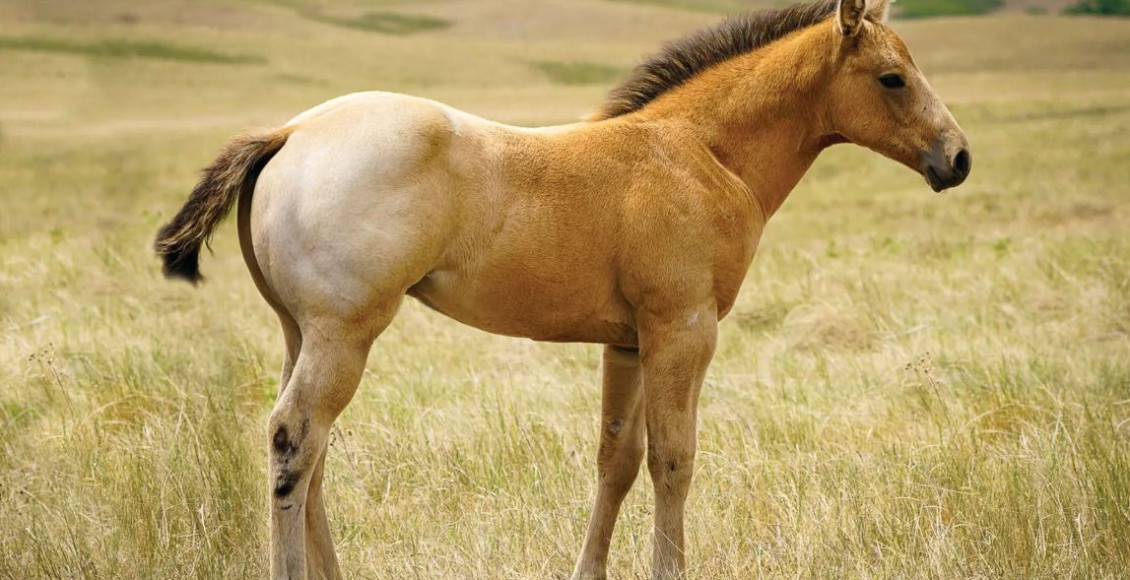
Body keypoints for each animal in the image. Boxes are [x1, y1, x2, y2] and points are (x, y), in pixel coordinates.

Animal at [154, 0, 970, 577]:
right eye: (893, 79)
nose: (957, 159)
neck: (700, 153)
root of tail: (289, 132)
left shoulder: (629, 343)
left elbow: (618, 462)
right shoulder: (684, 330)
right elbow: (674, 460)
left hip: (302, 333)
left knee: (312, 453)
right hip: (344, 333)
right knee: (295, 440)